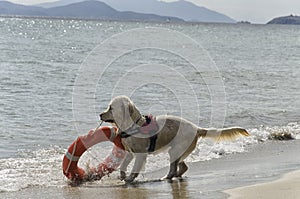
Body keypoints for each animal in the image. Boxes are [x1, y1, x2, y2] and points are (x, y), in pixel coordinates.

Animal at [99, 95, 250, 183]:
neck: (133, 125)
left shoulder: (140, 154)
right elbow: (123, 164)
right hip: (179, 152)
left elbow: (135, 168)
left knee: (173, 169)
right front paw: (122, 176)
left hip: (175, 150)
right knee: (183, 167)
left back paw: (166, 177)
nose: (100, 114)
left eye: (111, 108)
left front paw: (130, 178)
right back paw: (175, 176)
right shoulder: (130, 152)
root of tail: (196, 128)